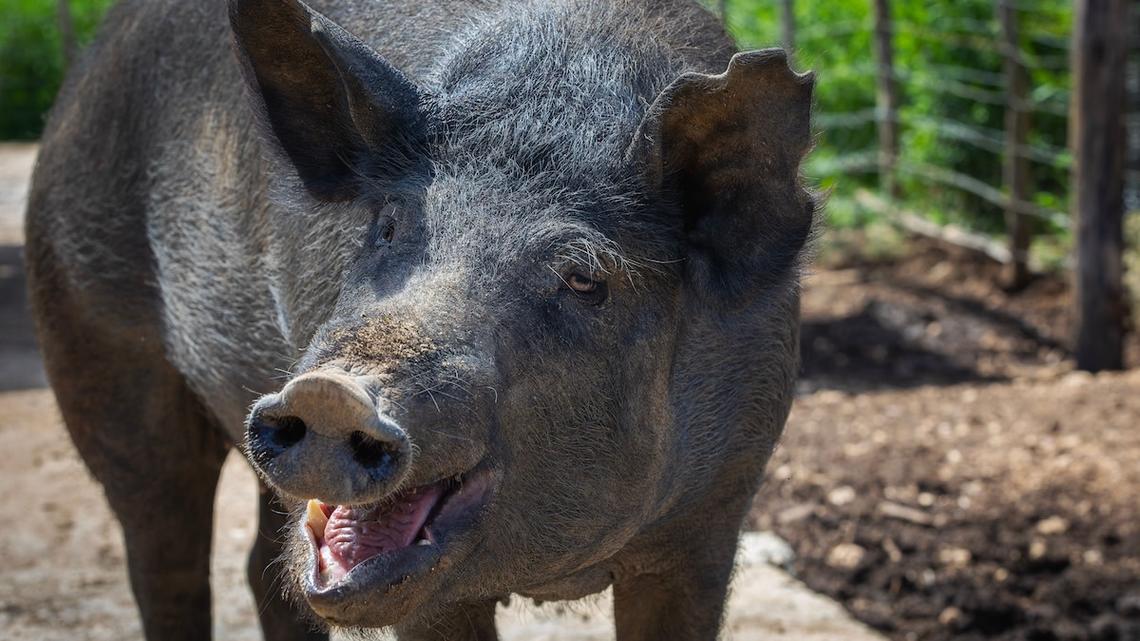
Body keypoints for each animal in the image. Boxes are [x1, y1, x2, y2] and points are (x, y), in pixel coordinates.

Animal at [24, 0, 816, 639]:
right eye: (388, 225)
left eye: (583, 278)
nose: (330, 393)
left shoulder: (713, 517)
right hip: (89, 330)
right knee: (163, 548)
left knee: (258, 569)